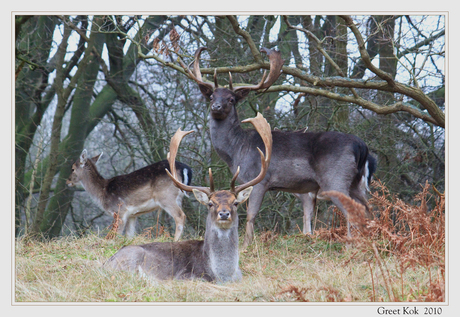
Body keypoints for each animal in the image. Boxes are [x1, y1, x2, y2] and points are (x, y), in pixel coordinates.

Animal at [103, 113, 274, 282]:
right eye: (210, 203)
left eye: (236, 203)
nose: (224, 214)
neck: (223, 274)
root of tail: (106, 262)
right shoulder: (187, 276)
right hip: (132, 258)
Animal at [181, 46, 380, 247]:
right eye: (211, 96)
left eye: (231, 99)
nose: (216, 106)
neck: (236, 150)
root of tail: (361, 147)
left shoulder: (259, 179)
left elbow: (251, 215)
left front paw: (245, 246)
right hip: (355, 182)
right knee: (369, 209)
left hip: (335, 178)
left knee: (353, 211)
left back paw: (350, 245)